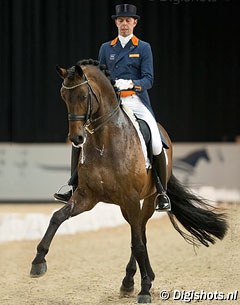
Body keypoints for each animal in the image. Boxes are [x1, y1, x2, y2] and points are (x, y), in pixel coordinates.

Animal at [29, 58, 227, 302]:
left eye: (83, 96)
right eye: (63, 96)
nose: (76, 138)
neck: (103, 142)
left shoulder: (131, 198)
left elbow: (138, 244)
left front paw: (144, 290)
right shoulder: (87, 197)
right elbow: (57, 217)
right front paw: (38, 262)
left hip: (149, 198)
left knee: (139, 233)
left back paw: (139, 280)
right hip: (125, 206)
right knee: (139, 231)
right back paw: (134, 279)